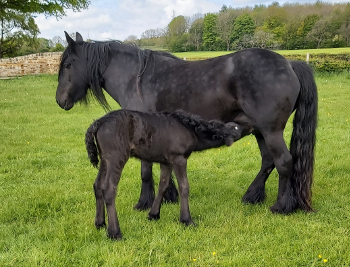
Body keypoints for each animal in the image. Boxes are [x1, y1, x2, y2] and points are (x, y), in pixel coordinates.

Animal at [86, 110, 253, 240]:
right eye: (236, 126)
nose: (250, 123)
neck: (189, 128)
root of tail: (98, 123)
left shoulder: (166, 162)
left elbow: (163, 185)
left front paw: (153, 214)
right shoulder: (178, 159)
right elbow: (184, 187)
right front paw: (186, 220)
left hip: (104, 160)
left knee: (97, 185)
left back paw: (100, 223)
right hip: (116, 158)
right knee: (109, 189)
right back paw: (115, 232)